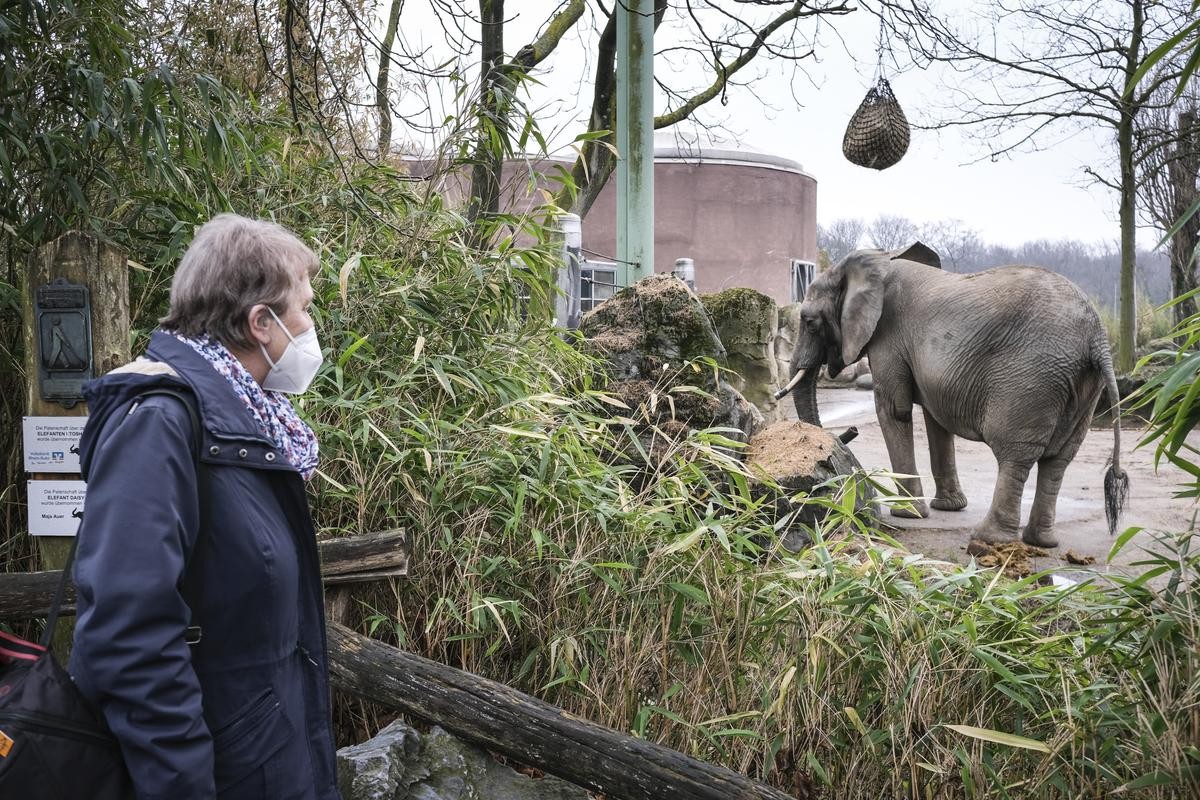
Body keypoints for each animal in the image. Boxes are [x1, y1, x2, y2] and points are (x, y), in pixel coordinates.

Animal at [777, 241, 1123, 546]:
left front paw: (908, 513)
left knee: (1017, 455)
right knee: (1059, 460)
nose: (845, 437)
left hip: (1033, 376)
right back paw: (1042, 541)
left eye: (809, 322)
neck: (876, 262)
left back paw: (989, 538)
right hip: (1082, 385)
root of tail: (1096, 336)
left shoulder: (887, 338)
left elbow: (894, 410)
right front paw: (948, 507)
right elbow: (935, 419)